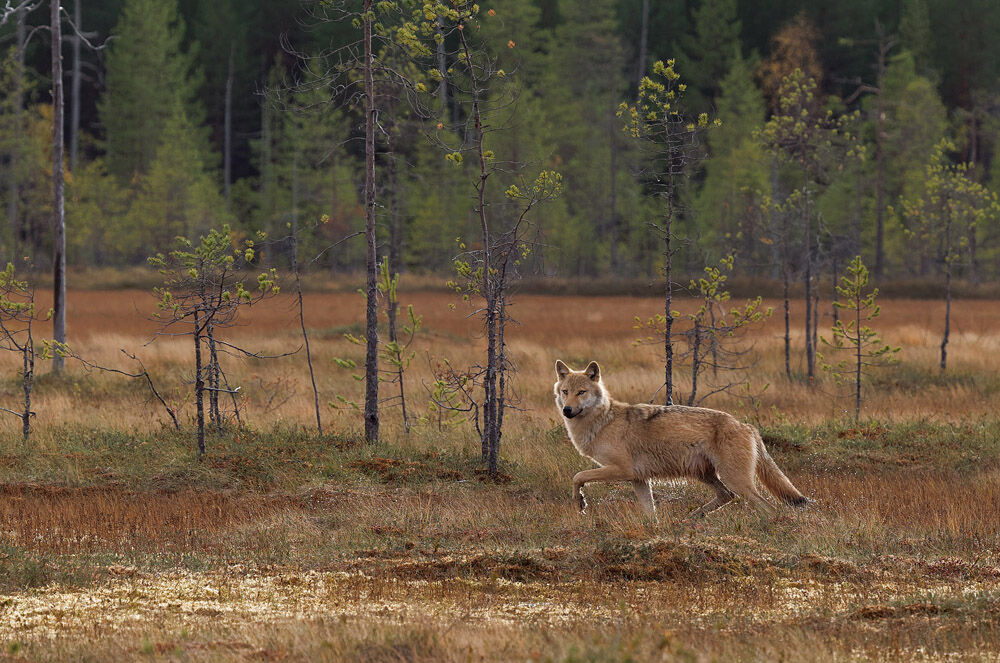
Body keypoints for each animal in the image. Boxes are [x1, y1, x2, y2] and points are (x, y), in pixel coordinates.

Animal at [554, 360, 811, 518]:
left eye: (581, 392)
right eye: (565, 392)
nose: (567, 410)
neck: (602, 422)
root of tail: (746, 425)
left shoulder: (622, 470)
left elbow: (578, 477)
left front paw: (580, 502)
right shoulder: (638, 479)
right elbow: (650, 515)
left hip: (735, 480)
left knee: (768, 508)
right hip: (706, 475)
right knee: (726, 496)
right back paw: (692, 518)